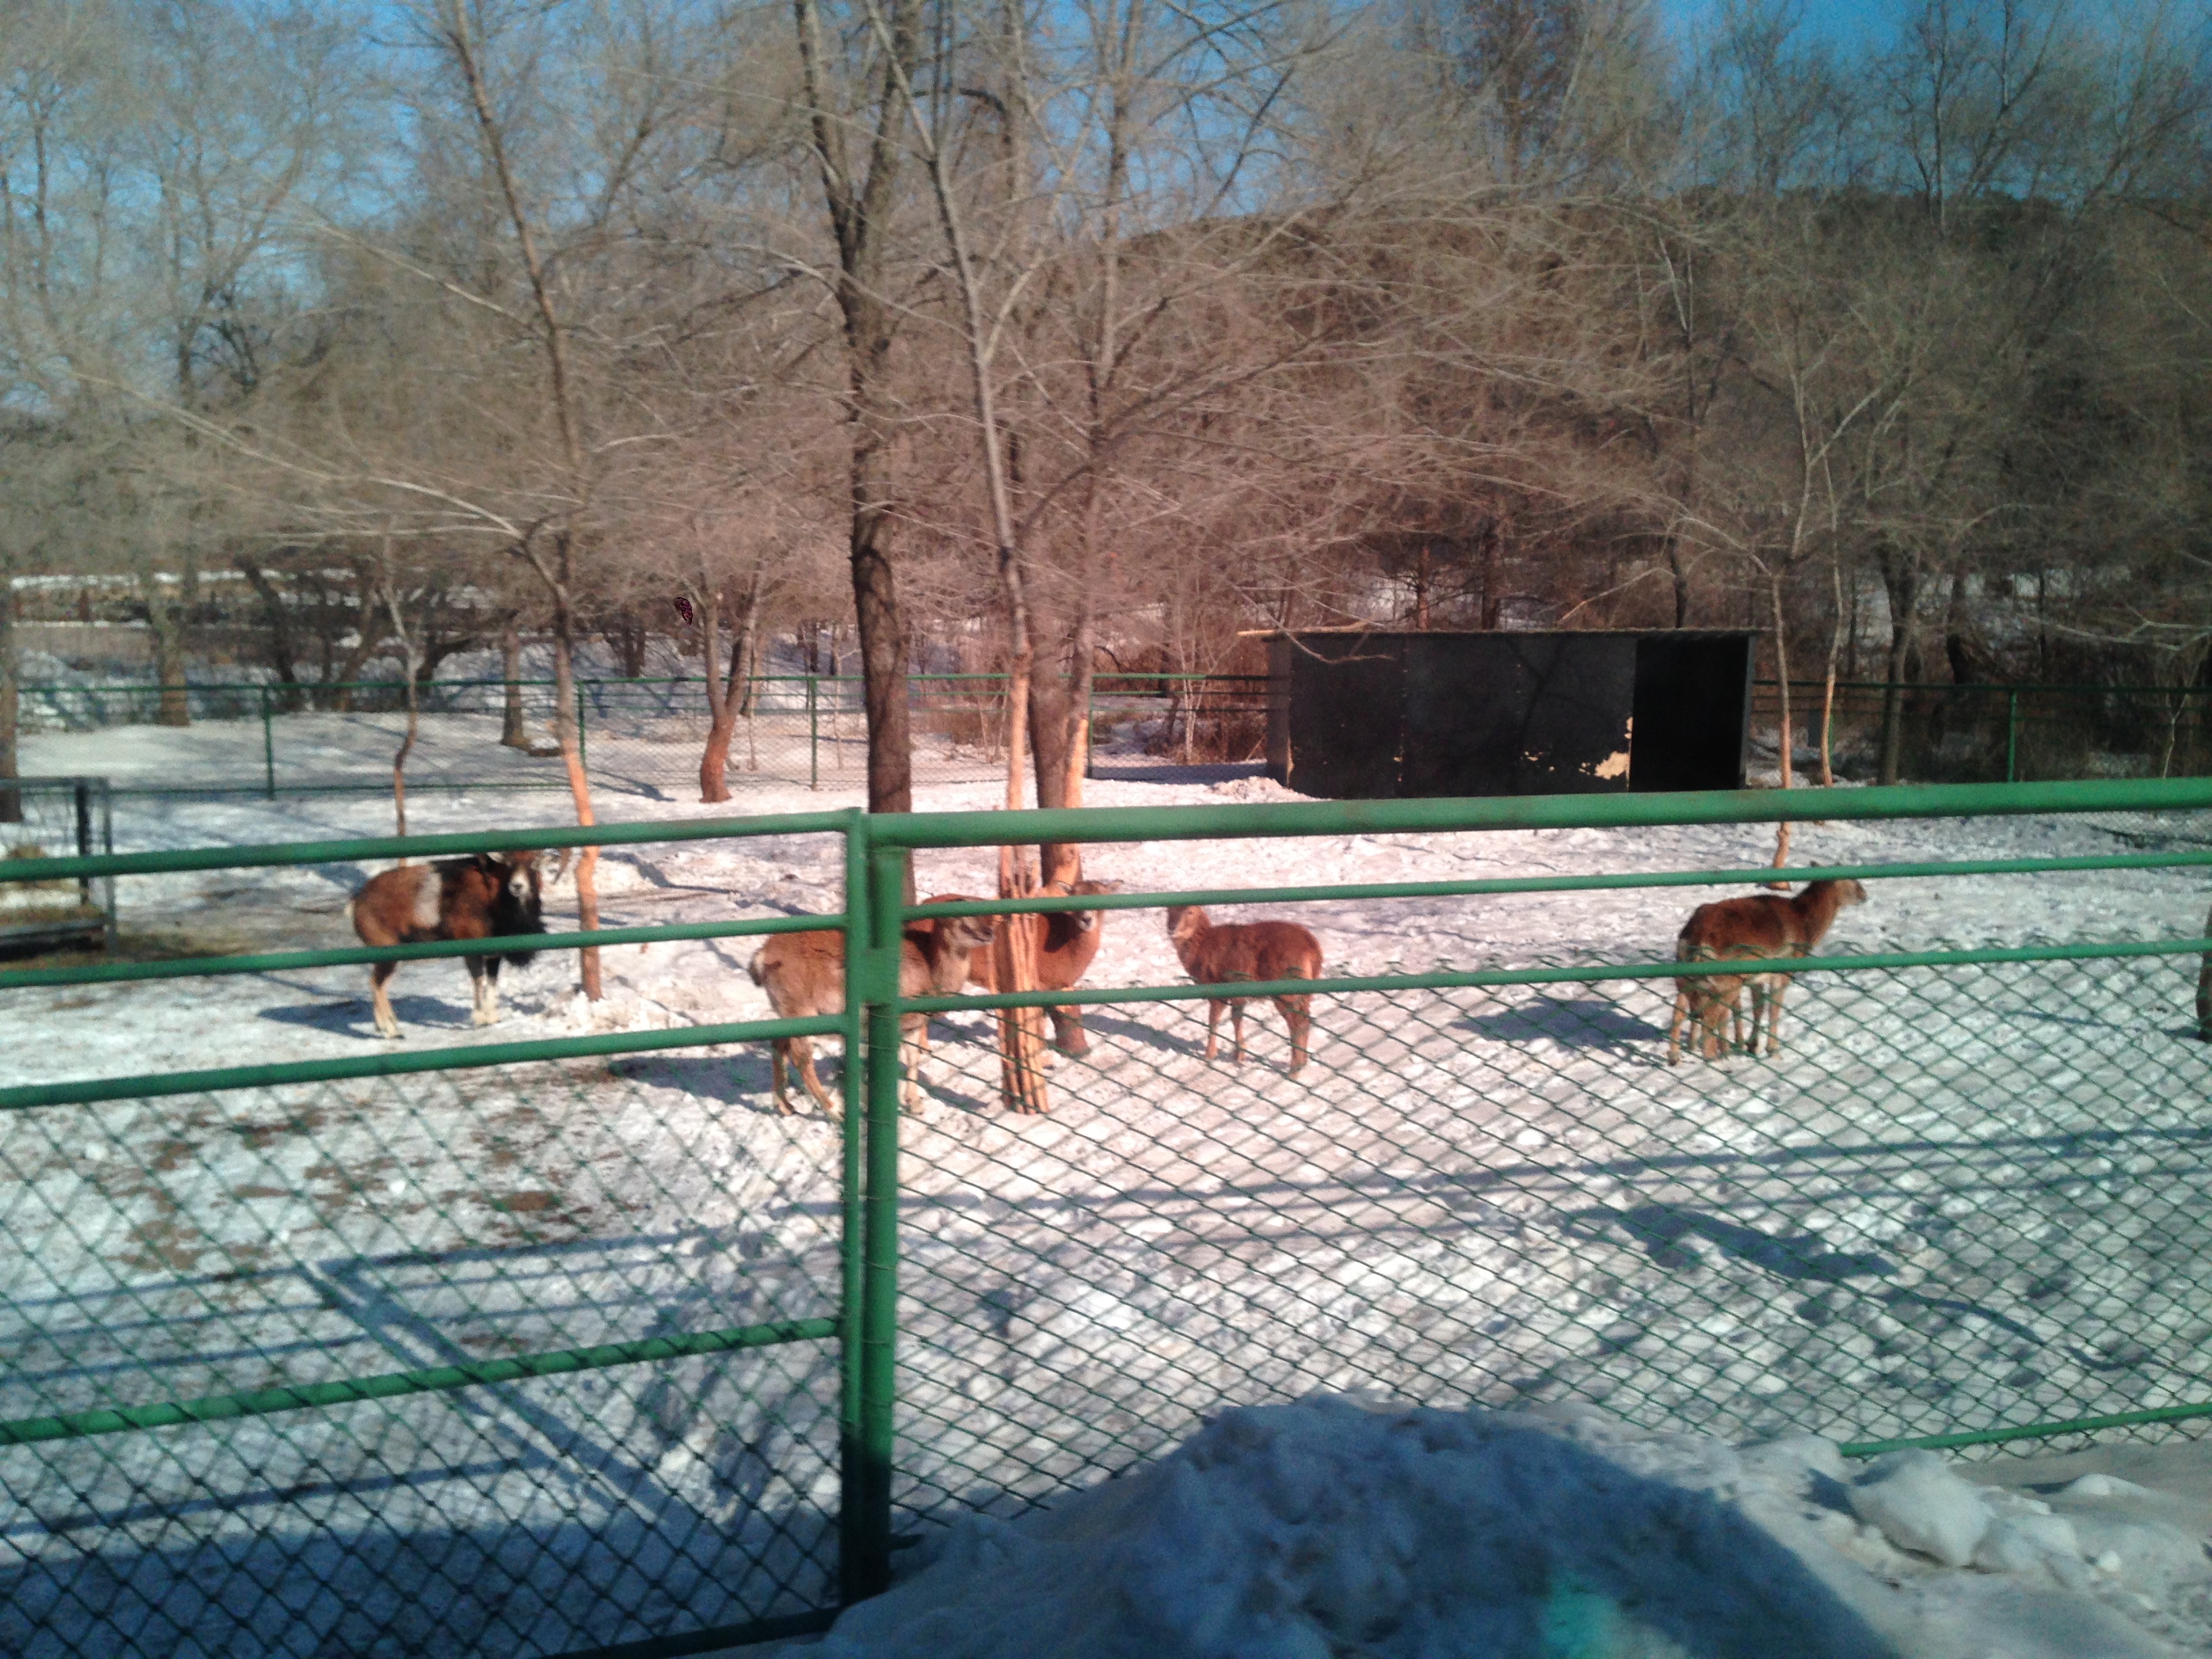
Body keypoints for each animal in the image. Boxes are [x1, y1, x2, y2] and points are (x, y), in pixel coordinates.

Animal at [351, 858, 550, 1040]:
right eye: (510, 865)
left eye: (533, 864)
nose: (518, 886)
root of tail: (357, 903)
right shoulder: (473, 953)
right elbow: (479, 980)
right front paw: (481, 1019)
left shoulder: (494, 957)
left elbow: (492, 982)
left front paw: (493, 1018)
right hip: (389, 959)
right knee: (376, 984)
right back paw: (393, 1032)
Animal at [747, 916, 1000, 1124]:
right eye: (960, 920)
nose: (989, 933)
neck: (930, 973)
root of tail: (761, 957)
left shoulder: (913, 1026)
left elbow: (913, 1058)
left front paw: (915, 1105)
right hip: (801, 1009)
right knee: (801, 1057)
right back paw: (835, 1112)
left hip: (788, 1011)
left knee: (779, 1043)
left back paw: (785, 1106)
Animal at [1168, 911, 1318, 1079]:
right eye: (1169, 910)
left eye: (1190, 912)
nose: (1172, 927)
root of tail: (1314, 949)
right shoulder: (1237, 992)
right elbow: (1236, 1017)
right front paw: (1239, 1055)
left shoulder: (1217, 986)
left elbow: (1214, 1020)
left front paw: (1210, 1055)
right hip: (1303, 993)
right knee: (1305, 1019)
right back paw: (1302, 1062)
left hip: (1285, 990)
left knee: (1298, 1023)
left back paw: (1294, 1070)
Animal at [1663, 884, 1875, 1066]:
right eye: (1855, 881)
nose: (1865, 896)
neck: (1805, 926)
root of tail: (1696, 940)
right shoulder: (1781, 972)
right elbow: (1773, 1007)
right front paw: (1772, 1051)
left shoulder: (1755, 979)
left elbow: (1758, 1006)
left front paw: (1749, 1046)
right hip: (1725, 981)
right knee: (1710, 1016)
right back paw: (1713, 1057)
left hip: (1686, 976)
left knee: (1682, 1010)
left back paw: (1678, 1056)